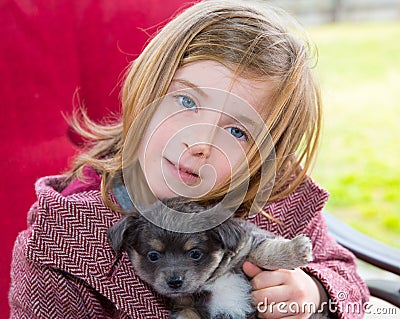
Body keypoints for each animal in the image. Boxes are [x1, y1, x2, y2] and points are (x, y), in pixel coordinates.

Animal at [108, 199, 312, 318]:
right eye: (153, 255)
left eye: (195, 253)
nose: (174, 282)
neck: (214, 279)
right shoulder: (186, 307)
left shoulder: (246, 248)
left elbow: (263, 252)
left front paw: (296, 250)